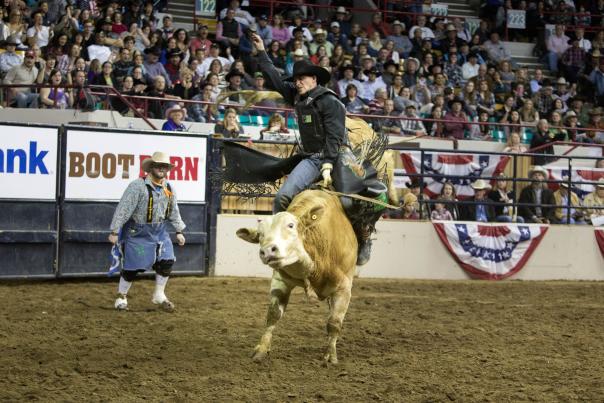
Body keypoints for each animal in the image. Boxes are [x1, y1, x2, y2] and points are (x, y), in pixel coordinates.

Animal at [237, 191, 358, 364]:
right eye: (260, 234)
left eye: (290, 225)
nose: (267, 251)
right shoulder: (281, 280)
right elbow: (273, 314)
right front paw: (261, 350)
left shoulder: (344, 289)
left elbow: (334, 322)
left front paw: (330, 356)